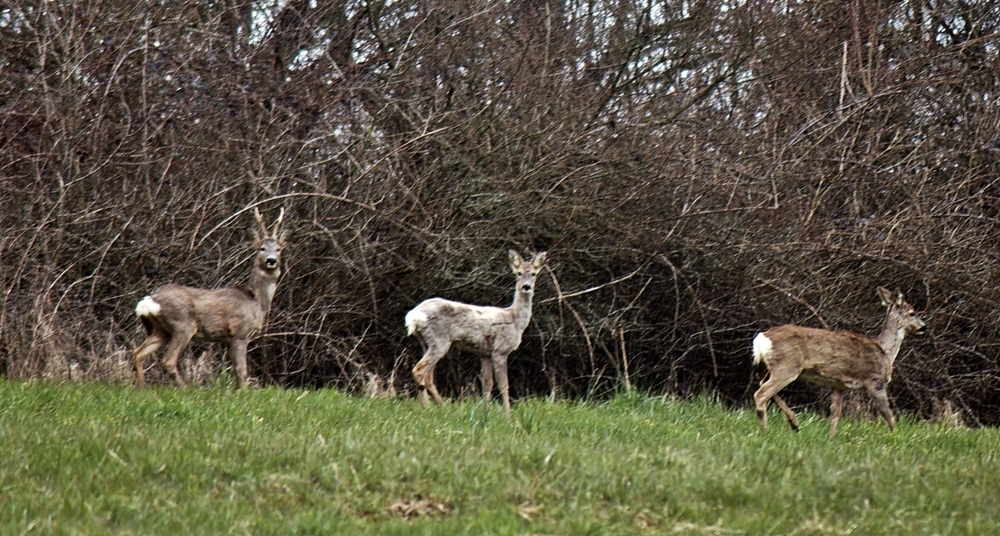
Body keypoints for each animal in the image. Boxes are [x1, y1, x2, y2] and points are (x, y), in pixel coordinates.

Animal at [131, 207, 288, 388]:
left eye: (278, 249)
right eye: (262, 248)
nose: (271, 260)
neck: (255, 301)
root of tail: (149, 301)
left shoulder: (228, 340)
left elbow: (236, 373)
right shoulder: (240, 333)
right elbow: (242, 373)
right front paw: (244, 391)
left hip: (161, 330)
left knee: (138, 352)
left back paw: (142, 387)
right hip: (182, 326)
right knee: (168, 360)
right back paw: (185, 388)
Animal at [404, 249, 552, 416]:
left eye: (533, 273)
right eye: (518, 273)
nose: (526, 287)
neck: (515, 320)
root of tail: (414, 315)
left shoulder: (485, 353)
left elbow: (487, 383)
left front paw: (485, 413)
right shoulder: (500, 350)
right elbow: (503, 384)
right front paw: (508, 415)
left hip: (427, 342)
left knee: (428, 375)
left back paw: (439, 407)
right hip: (440, 340)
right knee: (419, 370)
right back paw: (430, 408)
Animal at [752, 286, 924, 438]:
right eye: (912, 313)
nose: (923, 326)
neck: (885, 351)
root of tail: (762, 339)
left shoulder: (838, 385)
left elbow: (836, 413)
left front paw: (831, 438)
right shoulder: (875, 382)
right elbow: (888, 416)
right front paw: (897, 437)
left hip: (775, 367)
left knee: (761, 384)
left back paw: (794, 424)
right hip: (787, 366)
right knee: (760, 394)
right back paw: (766, 432)